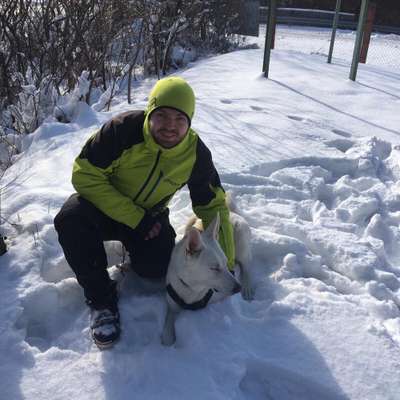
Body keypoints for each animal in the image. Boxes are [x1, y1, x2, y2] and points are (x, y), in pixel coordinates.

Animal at [160, 208, 252, 346]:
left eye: (226, 263)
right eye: (214, 268)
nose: (238, 288)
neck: (192, 289)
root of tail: (232, 212)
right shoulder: (172, 304)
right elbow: (166, 336)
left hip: (242, 242)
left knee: (246, 266)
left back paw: (247, 287)